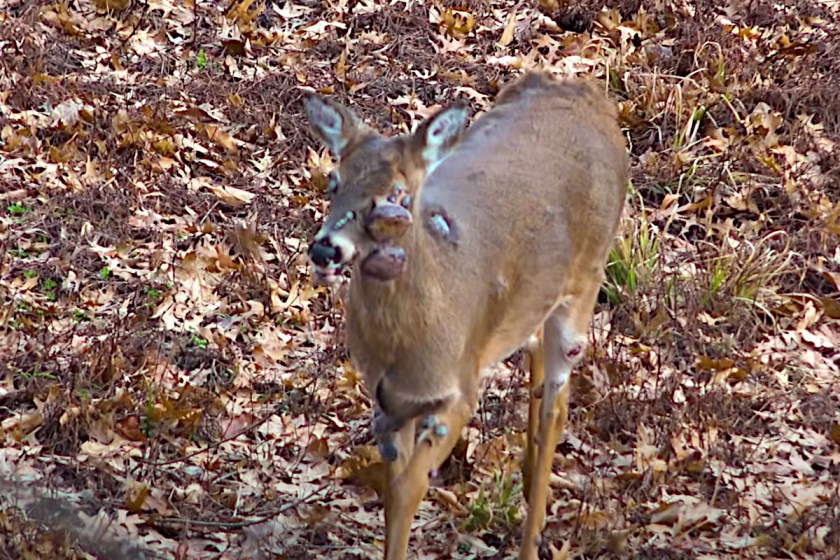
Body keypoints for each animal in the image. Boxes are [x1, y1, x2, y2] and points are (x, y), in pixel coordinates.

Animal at [302, 71, 624, 560]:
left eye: (397, 194)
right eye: (333, 181)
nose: (325, 249)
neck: (404, 346)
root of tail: (587, 92)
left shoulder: (458, 392)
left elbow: (412, 486)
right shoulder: (387, 400)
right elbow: (394, 490)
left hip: (587, 282)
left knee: (559, 400)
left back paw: (532, 533)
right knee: (531, 344)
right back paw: (527, 475)